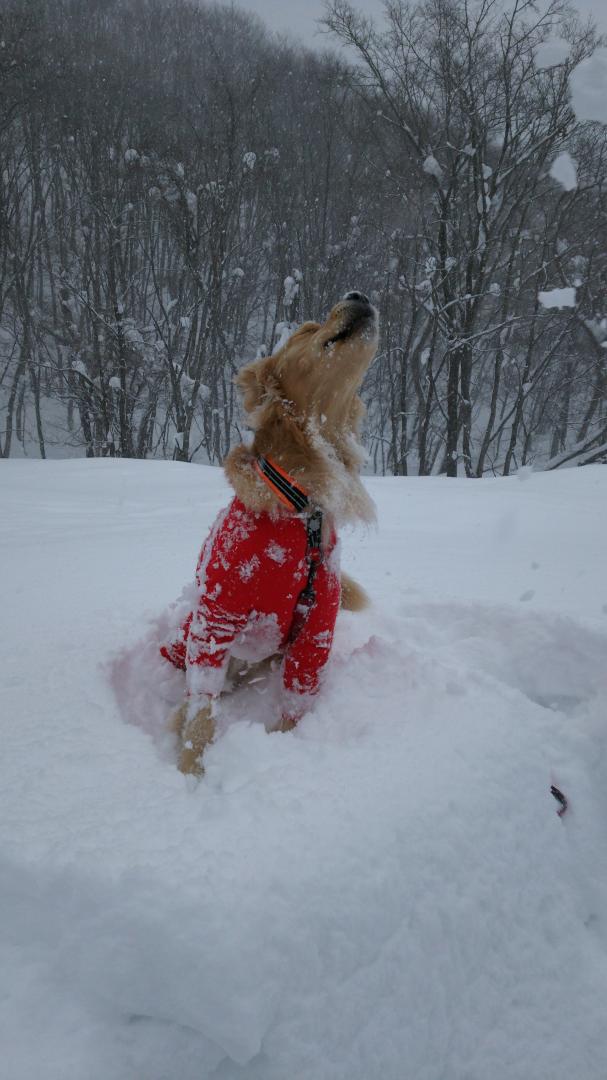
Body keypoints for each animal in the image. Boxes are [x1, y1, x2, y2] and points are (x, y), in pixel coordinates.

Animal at [163, 291, 375, 773]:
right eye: (307, 328)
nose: (358, 295)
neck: (301, 506)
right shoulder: (217, 613)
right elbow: (201, 708)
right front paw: (190, 769)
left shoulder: (318, 625)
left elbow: (299, 694)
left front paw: (285, 744)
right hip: (187, 634)